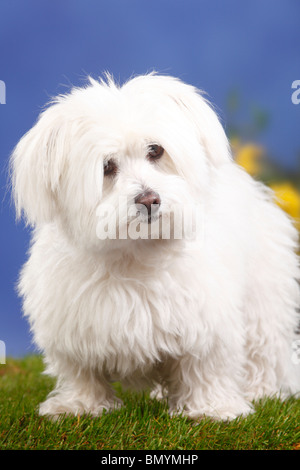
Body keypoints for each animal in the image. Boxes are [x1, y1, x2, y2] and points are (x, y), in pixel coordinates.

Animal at [10, 74, 298, 422]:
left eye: (155, 150)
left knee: (264, 347)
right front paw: (80, 405)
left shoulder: (206, 318)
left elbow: (205, 366)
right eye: (107, 166)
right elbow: (82, 372)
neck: (137, 251)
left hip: (263, 292)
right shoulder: (73, 324)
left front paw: (211, 408)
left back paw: (261, 389)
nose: (149, 199)